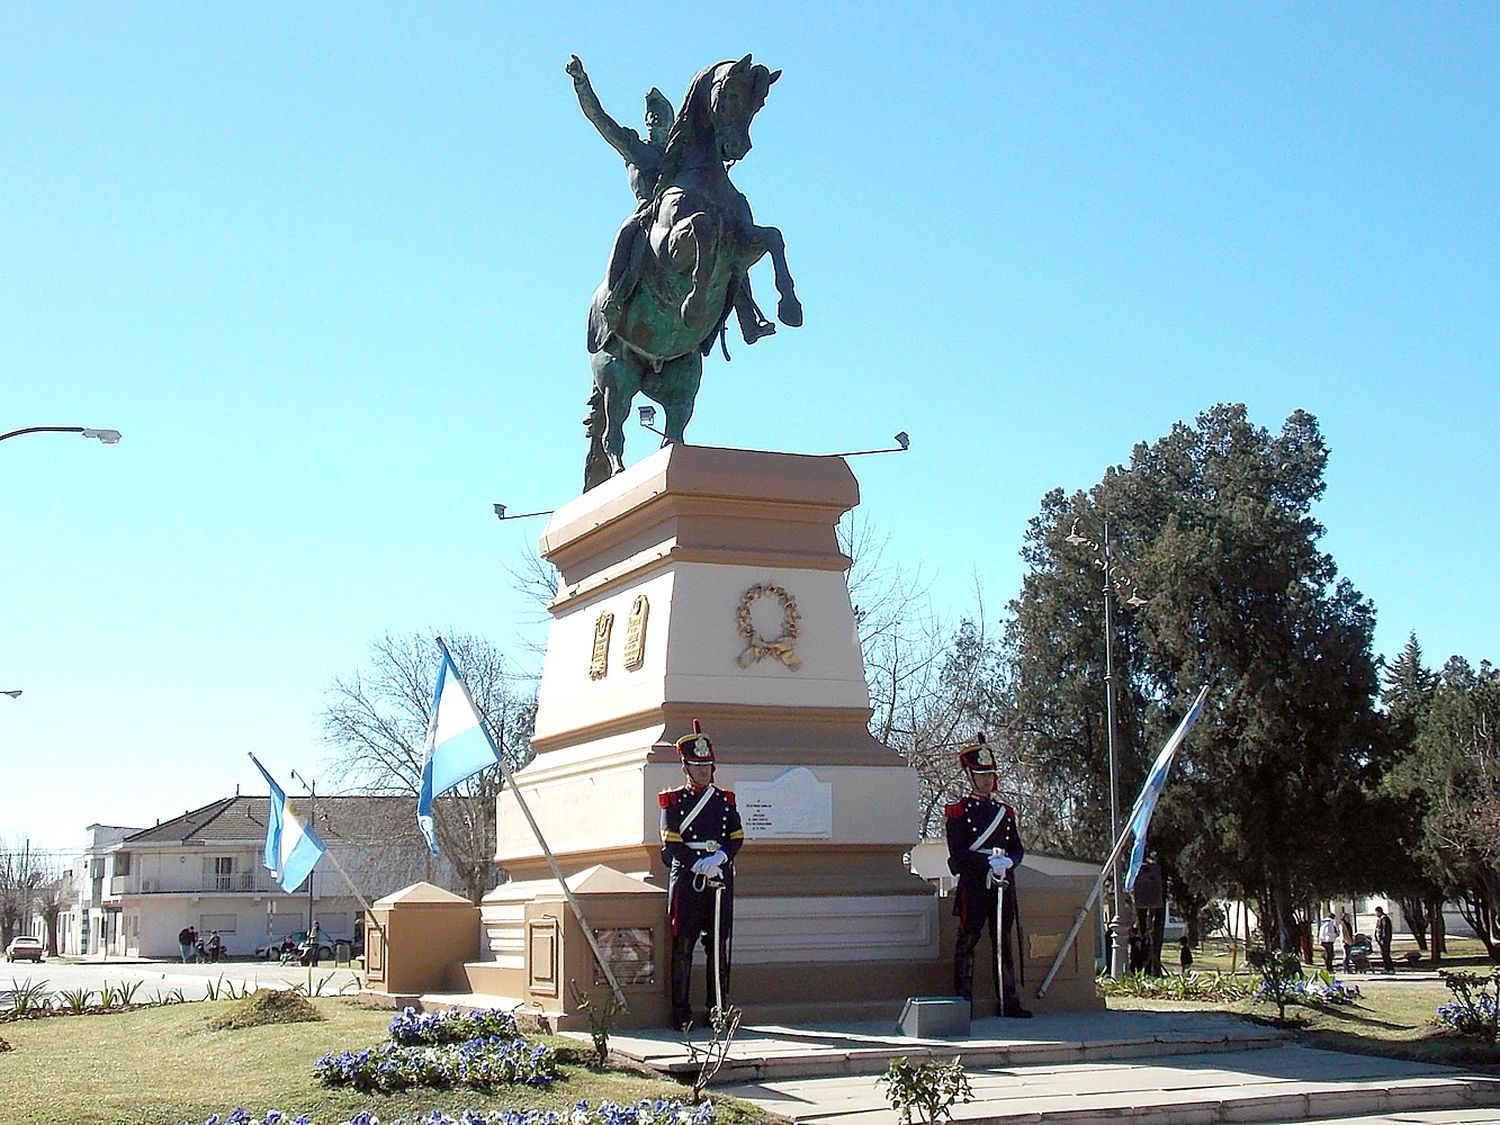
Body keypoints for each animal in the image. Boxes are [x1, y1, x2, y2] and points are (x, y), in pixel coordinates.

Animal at [579, 55, 804, 492]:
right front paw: (694, 305)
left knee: (672, 433)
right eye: (730, 94)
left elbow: (774, 237)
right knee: (613, 432)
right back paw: (620, 475)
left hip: (684, 381)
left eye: (759, 103)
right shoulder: (669, 245)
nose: (738, 148)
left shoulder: (744, 246)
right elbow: (702, 227)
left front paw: (789, 308)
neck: (705, 178)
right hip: (617, 379)